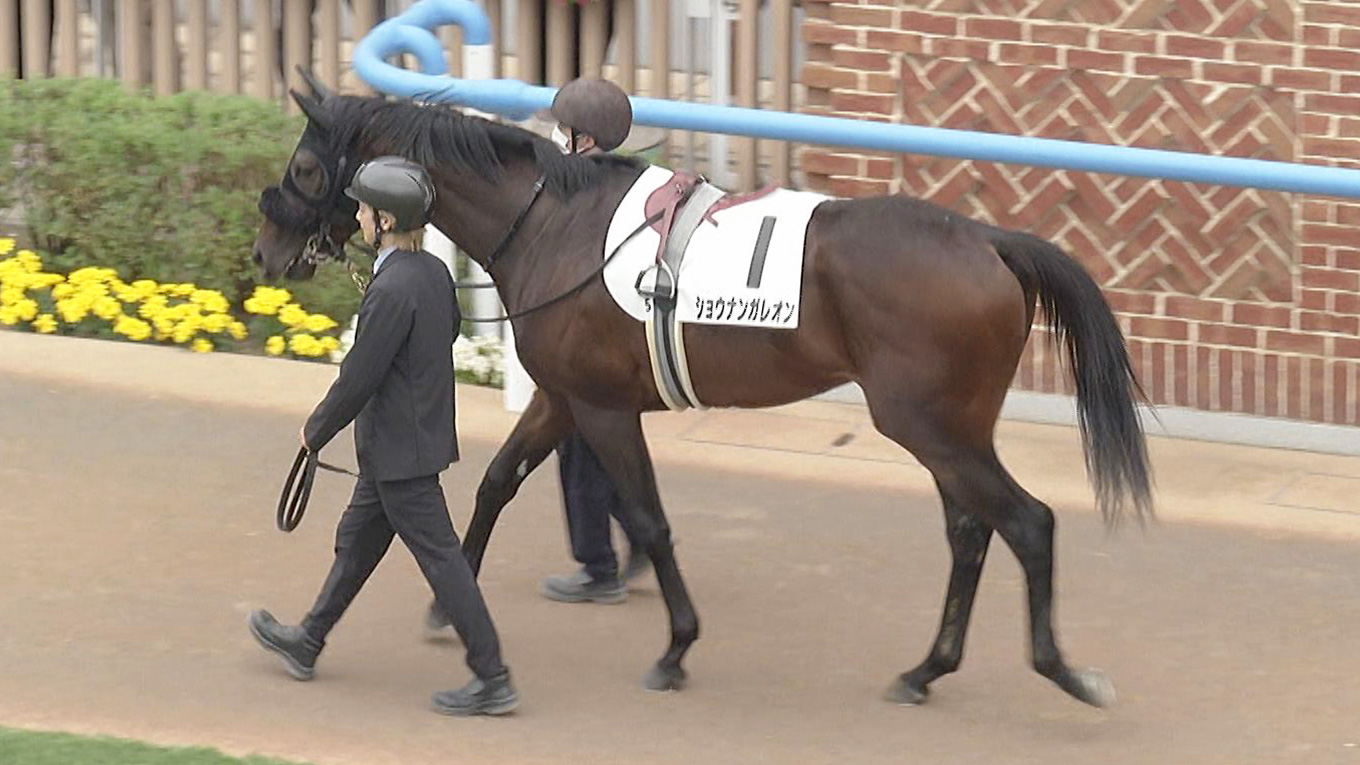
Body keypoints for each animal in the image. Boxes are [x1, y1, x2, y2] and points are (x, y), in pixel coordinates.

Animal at [252, 72, 1153, 709]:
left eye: (305, 165)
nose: (265, 249)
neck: (553, 225)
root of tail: (992, 244)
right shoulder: (561, 397)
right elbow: (497, 482)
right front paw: (449, 605)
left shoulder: (604, 408)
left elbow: (649, 520)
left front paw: (676, 647)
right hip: (946, 429)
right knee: (971, 532)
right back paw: (926, 669)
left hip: (932, 427)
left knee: (1026, 523)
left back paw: (1063, 670)